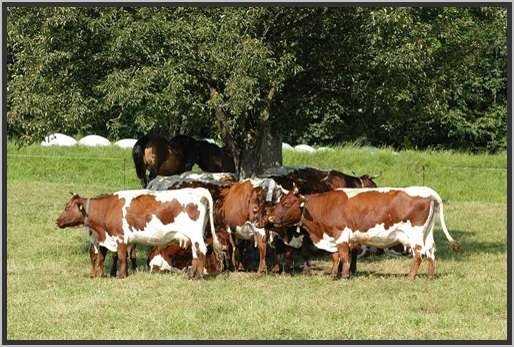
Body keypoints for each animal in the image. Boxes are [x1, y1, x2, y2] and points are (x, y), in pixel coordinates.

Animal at [56, 188, 220, 280]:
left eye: (67, 207)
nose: (57, 221)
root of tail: (199, 190)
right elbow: (123, 257)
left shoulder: (120, 237)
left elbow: (122, 257)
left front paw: (121, 276)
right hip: (194, 236)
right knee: (196, 253)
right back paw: (192, 274)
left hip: (195, 234)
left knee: (201, 250)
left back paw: (197, 277)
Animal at [262, 188, 458, 280]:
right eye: (281, 200)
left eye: (287, 203)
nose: (269, 216)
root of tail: (428, 191)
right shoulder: (332, 237)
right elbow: (335, 257)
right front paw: (333, 275)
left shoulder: (340, 234)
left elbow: (343, 255)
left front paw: (344, 275)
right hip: (427, 233)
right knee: (431, 251)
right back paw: (430, 275)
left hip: (415, 235)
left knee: (418, 254)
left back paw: (410, 276)